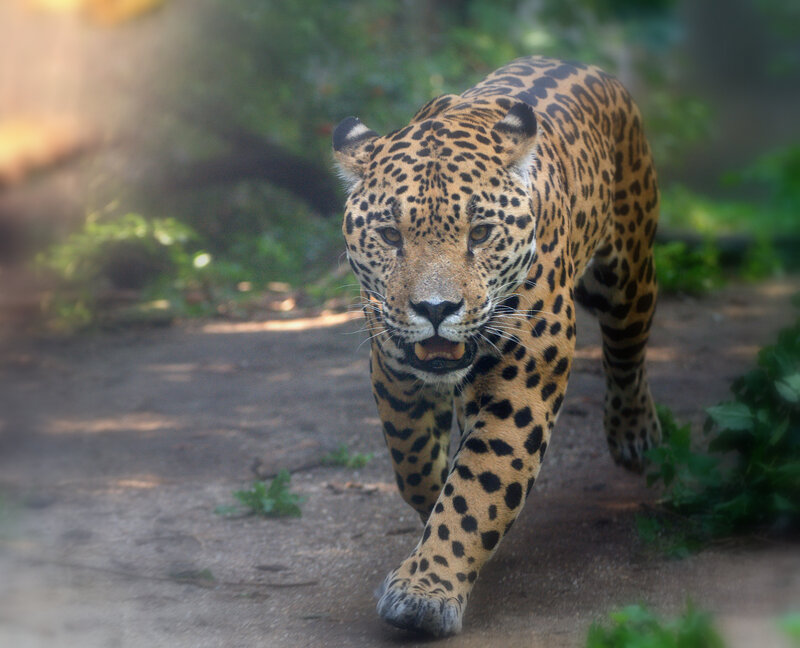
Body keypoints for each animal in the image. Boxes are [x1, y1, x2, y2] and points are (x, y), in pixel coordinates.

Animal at [332, 55, 661, 637]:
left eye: (480, 233)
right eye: (391, 236)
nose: (435, 309)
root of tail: (582, 64)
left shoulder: (520, 388)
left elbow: (475, 488)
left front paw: (425, 591)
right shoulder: (393, 369)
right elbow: (415, 464)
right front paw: (434, 524)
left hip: (626, 276)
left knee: (627, 348)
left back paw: (633, 433)